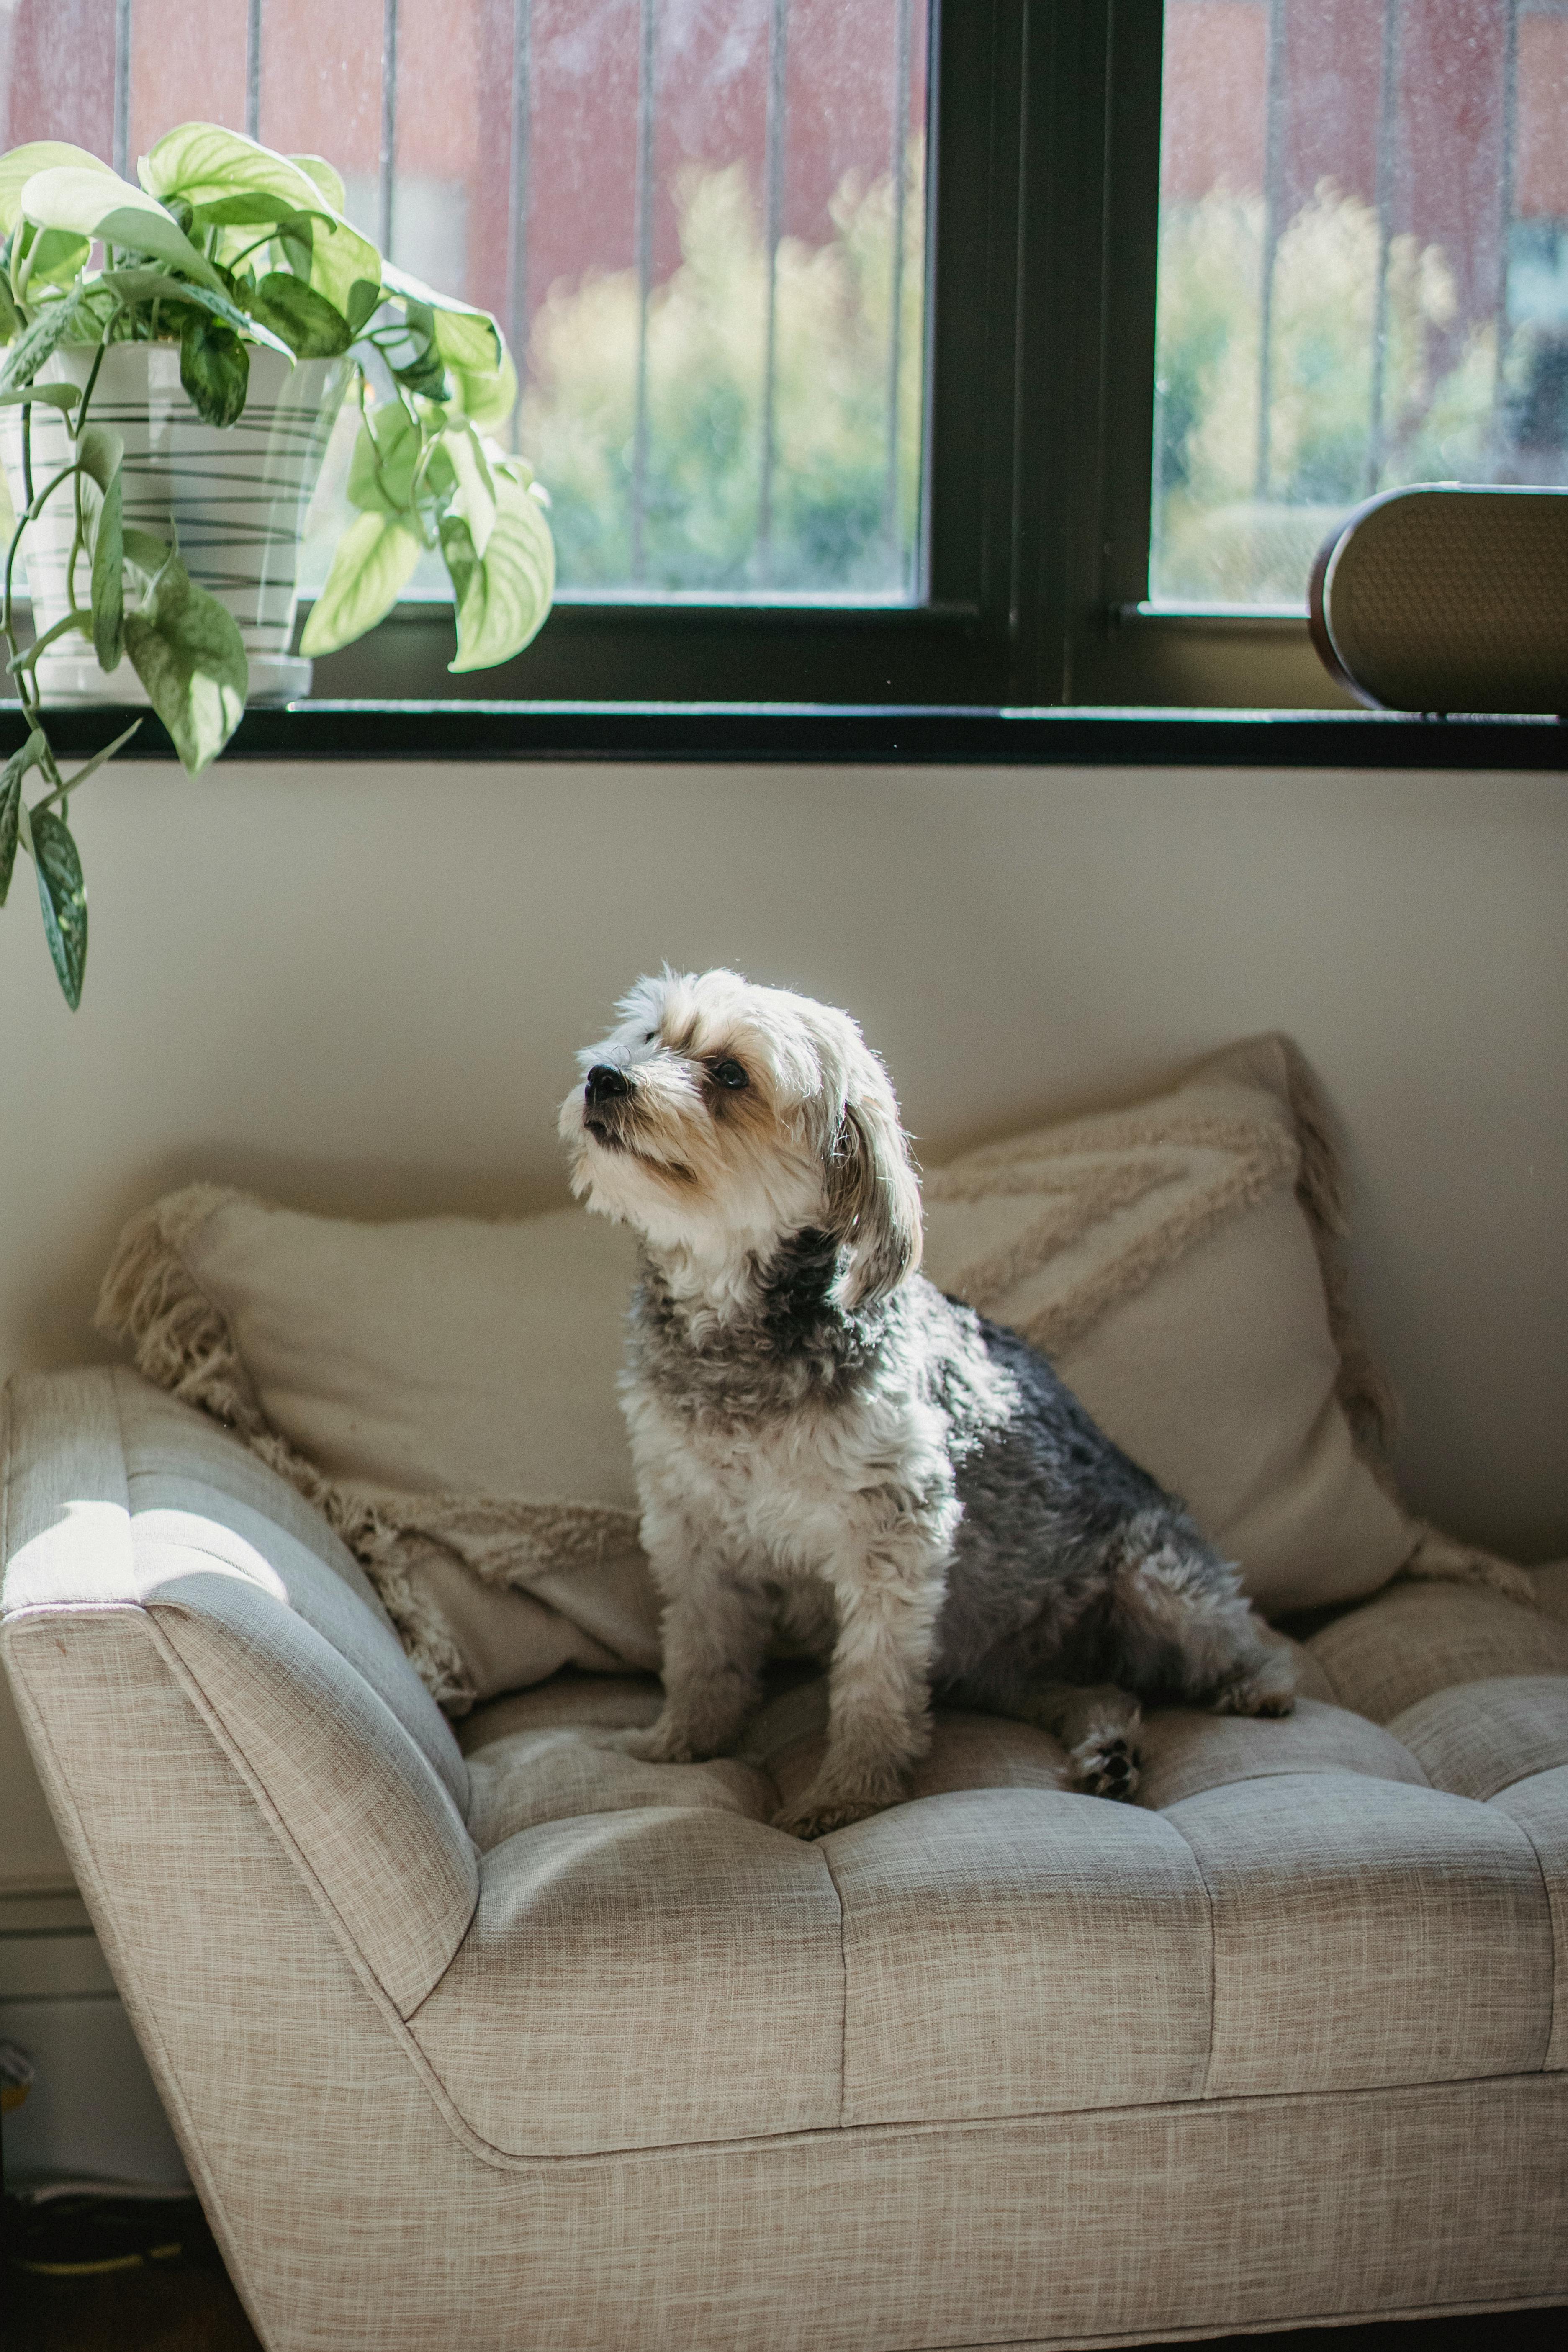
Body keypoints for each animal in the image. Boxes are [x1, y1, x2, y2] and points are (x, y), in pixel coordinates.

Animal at [557, 969, 1298, 1834]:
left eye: (732, 1073)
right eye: (649, 1036)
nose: (605, 1077)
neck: (733, 1329)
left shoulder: (894, 1530)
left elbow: (873, 1678)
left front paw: (847, 1791)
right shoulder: (691, 1525)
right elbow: (702, 1653)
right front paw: (680, 1742)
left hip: (1160, 1583)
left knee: (1252, 1638)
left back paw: (1257, 1685)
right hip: (1010, 1671)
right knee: (1103, 1689)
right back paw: (1108, 1748)